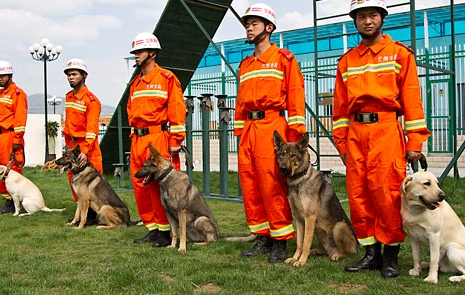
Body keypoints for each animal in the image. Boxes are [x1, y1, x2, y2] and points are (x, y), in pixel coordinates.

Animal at [274, 132, 358, 268]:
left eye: (293, 156)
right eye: (282, 154)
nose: (282, 168)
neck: (298, 181)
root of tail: (358, 245)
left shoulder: (309, 218)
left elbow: (306, 243)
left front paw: (301, 261)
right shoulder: (298, 219)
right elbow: (299, 243)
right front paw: (294, 258)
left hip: (339, 226)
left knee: (346, 252)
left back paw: (337, 255)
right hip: (319, 233)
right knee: (326, 250)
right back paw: (317, 251)